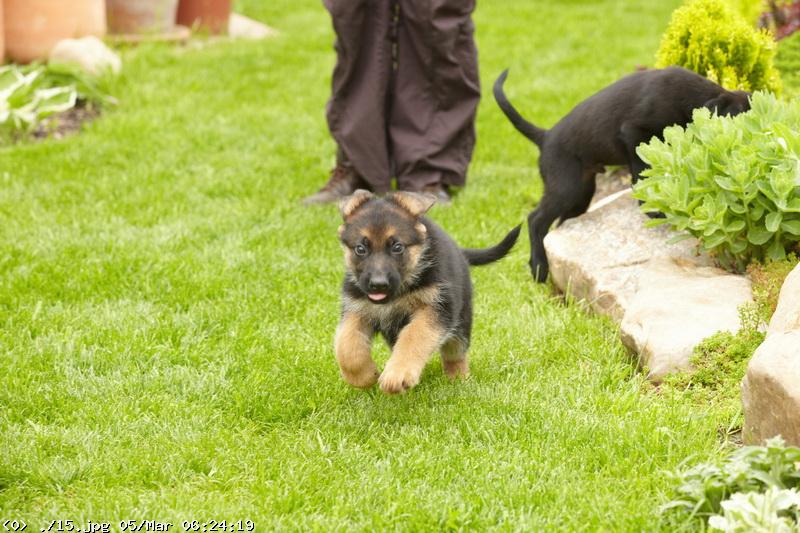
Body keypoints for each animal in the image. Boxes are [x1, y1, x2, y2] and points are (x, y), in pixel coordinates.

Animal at [334, 190, 520, 394]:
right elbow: (346, 345)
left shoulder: (436, 309)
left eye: (397, 247)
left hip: (460, 321)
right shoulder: (357, 309)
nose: (378, 284)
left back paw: (458, 380)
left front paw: (398, 373)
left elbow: (413, 336)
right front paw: (363, 377)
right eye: (360, 249)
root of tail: (460, 253)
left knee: (455, 353)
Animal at [493, 66, 751, 282]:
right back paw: (539, 267)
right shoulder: (634, 133)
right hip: (566, 188)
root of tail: (544, 137)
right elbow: (641, 174)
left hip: (582, 194)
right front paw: (651, 209)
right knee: (535, 219)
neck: (689, 98)